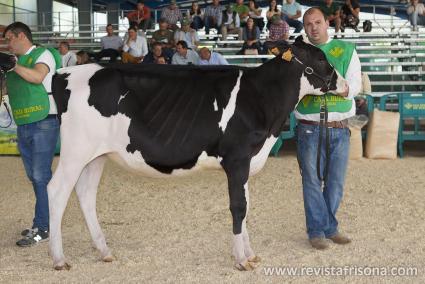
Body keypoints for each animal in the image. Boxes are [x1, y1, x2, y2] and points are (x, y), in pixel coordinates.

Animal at [0, 37, 346, 270]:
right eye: (319, 57)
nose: (342, 83)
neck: (260, 99)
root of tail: (64, 74)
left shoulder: (247, 162)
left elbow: (246, 206)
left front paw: (249, 254)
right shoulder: (237, 159)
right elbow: (238, 208)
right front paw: (241, 259)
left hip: (95, 154)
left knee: (85, 194)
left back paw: (104, 251)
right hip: (75, 150)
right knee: (57, 191)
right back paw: (59, 259)